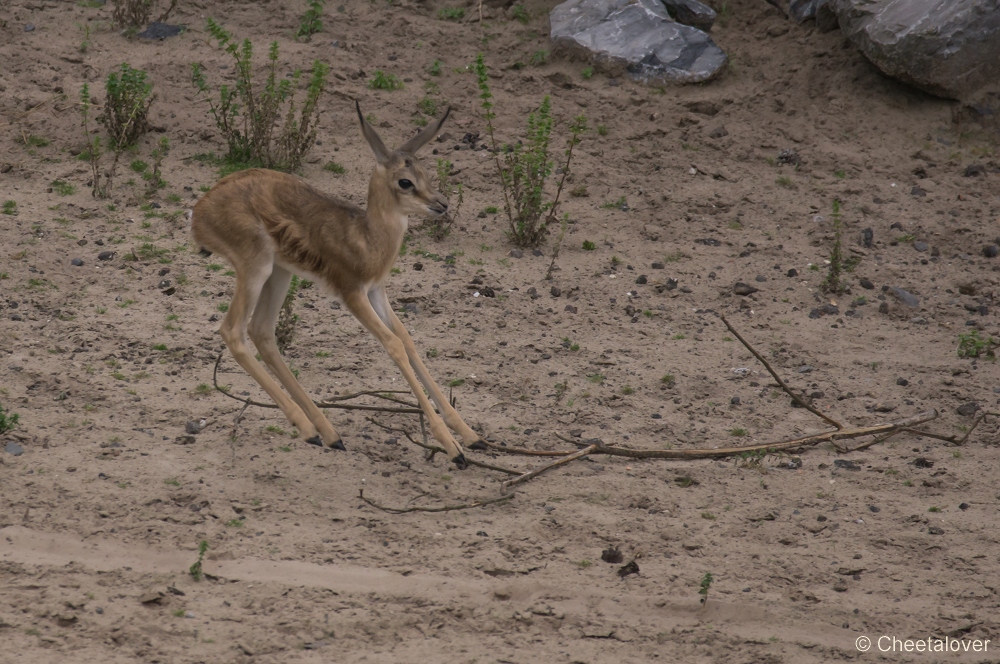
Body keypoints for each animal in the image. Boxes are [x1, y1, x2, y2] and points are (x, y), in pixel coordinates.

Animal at [192, 102, 484, 466]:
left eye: (425, 173)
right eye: (405, 181)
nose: (441, 205)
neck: (367, 238)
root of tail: (200, 212)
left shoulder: (376, 291)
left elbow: (407, 339)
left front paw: (472, 436)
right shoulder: (352, 294)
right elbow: (393, 345)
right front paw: (452, 448)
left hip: (280, 273)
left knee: (261, 331)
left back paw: (329, 434)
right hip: (255, 269)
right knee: (233, 331)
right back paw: (310, 430)